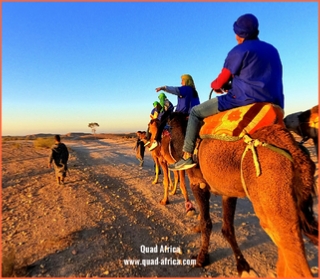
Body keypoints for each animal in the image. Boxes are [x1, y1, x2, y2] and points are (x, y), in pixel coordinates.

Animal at [168, 112, 318, 278]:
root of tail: (293, 150)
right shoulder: (227, 191)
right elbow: (227, 229)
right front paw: (243, 266)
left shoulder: (198, 184)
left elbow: (206, 224)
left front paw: (201, 259)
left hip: (273, 204)